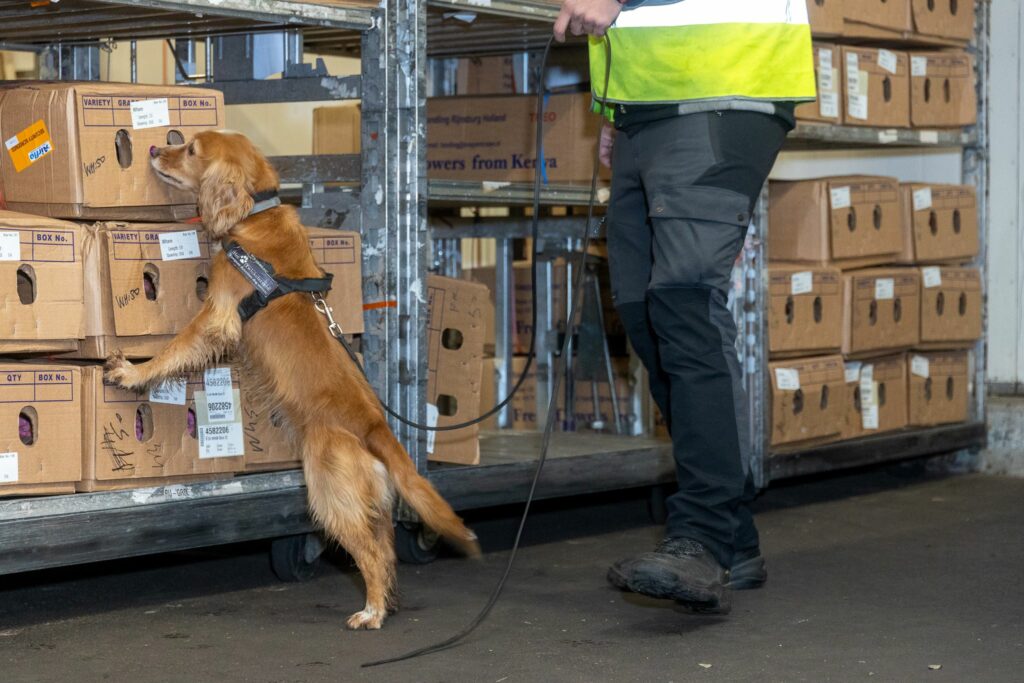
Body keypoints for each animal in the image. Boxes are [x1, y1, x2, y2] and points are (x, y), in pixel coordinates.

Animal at [105, 127, 481, 630]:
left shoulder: (217, 317)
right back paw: (388, 601)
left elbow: (173, 349)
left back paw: (372, 611)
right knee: (384, 551)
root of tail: (375, 428)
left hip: (329, 492)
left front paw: (133, 372)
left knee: (369, 554)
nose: (152, 149)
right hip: (371, 503)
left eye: (190, 149)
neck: (255, 216)